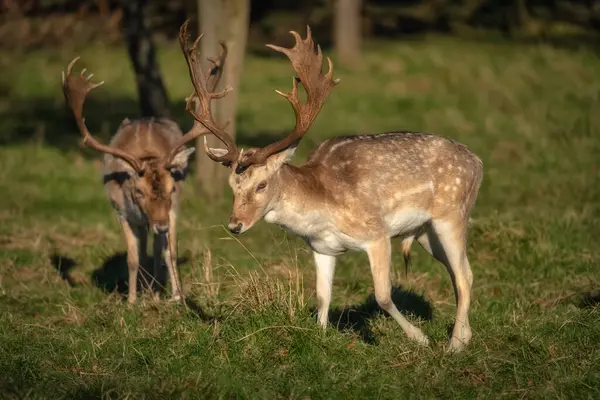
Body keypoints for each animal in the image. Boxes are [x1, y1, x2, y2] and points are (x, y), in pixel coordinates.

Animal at [61, 47, 226, 304]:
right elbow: (132, 257)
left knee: (158, 249)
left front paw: (176, 296)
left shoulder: (172, 208)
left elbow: (170, 251)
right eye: (138, 191)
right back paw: (147, 286)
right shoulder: (121, 212)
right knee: (145, 246)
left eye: (172, 188)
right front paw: (131, 300)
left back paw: (156, 290)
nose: (162, 225)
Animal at [178, 21, 482, 352]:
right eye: (232, 185)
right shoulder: (322, 248)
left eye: (261, 184)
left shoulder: (377, 234)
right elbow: (323, 297)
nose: (235, 225)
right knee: (461, 272)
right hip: (426, 232)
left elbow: (383, 295)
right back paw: (464, 335)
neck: (323, 211)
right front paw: (320, 339)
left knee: (464, 275)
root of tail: (478, 162)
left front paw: (420, 338)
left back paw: (454, 344)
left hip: (452, 214)